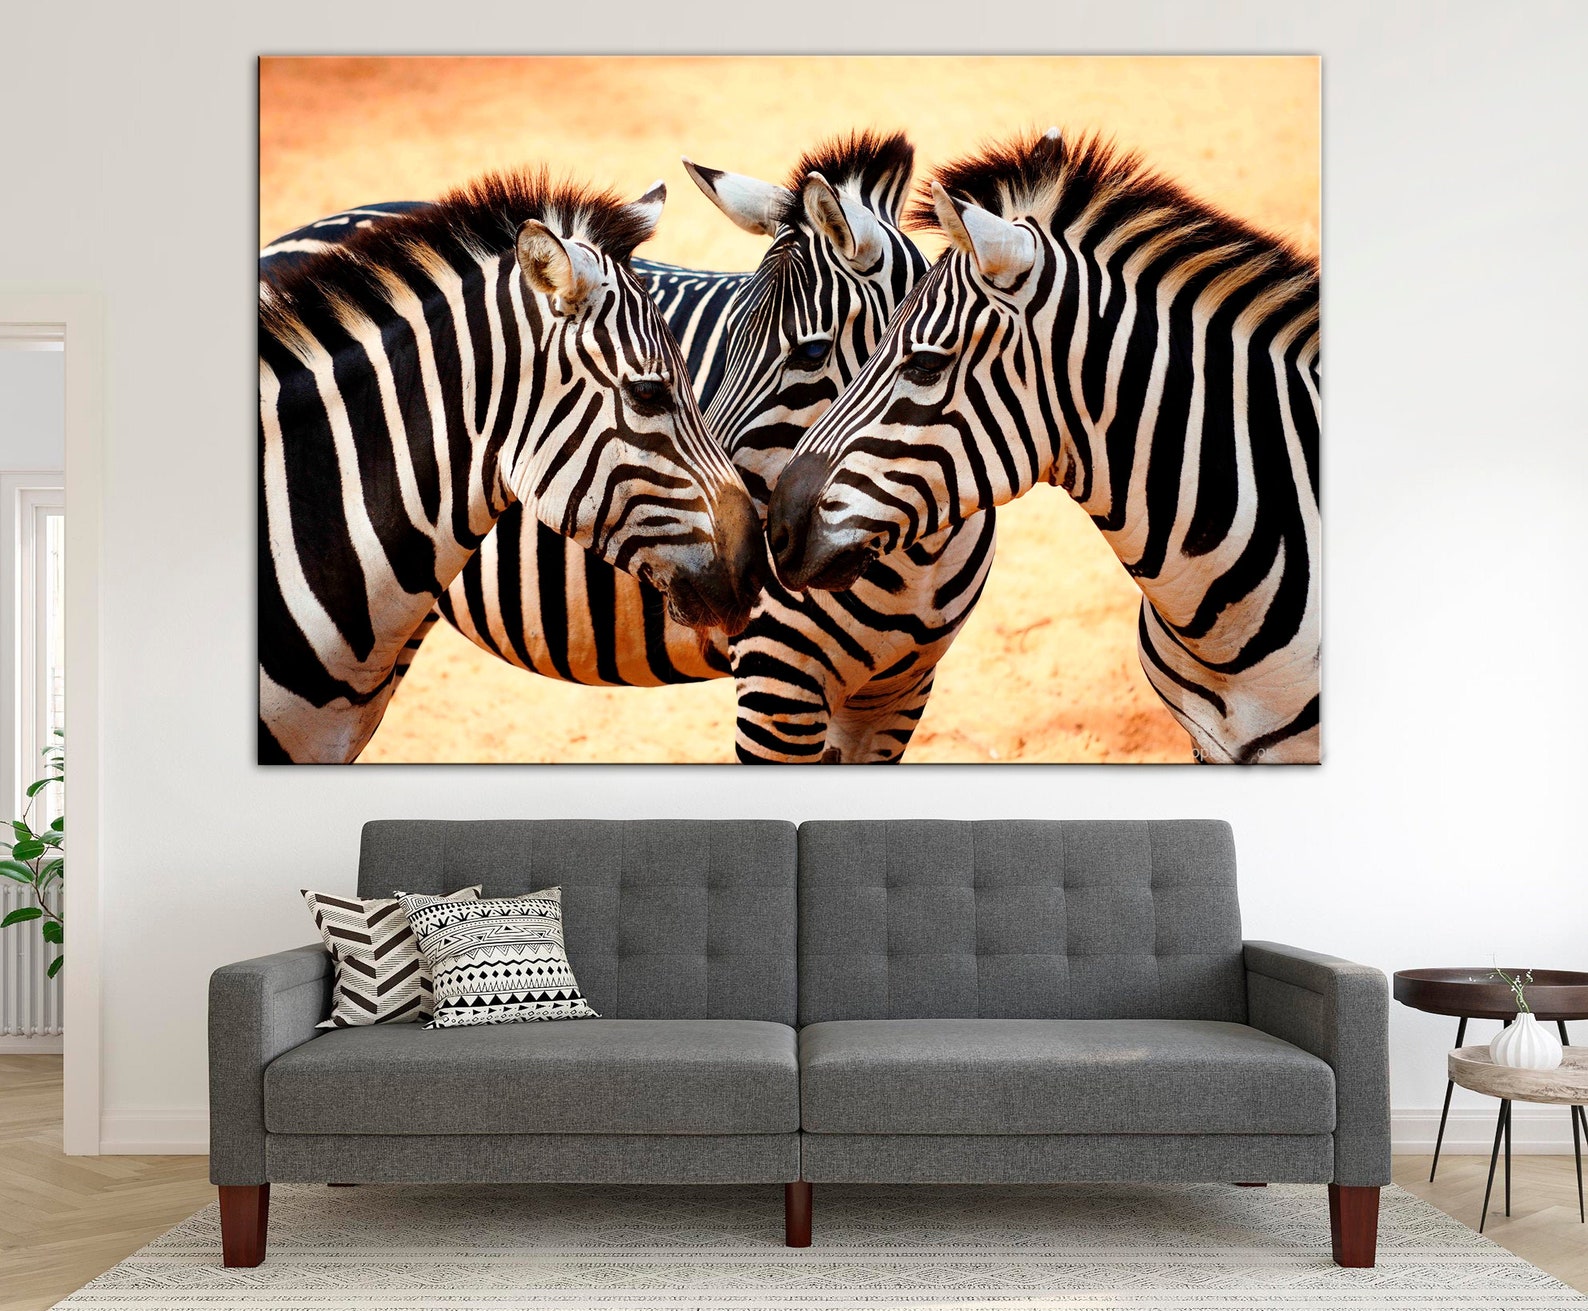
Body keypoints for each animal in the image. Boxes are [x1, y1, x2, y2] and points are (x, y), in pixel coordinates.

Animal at [431, 133, 999, 761]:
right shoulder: (780, 688)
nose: (743, 543)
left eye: (811, 353)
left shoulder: (900, 694)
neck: (919, 557)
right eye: (726, 340)